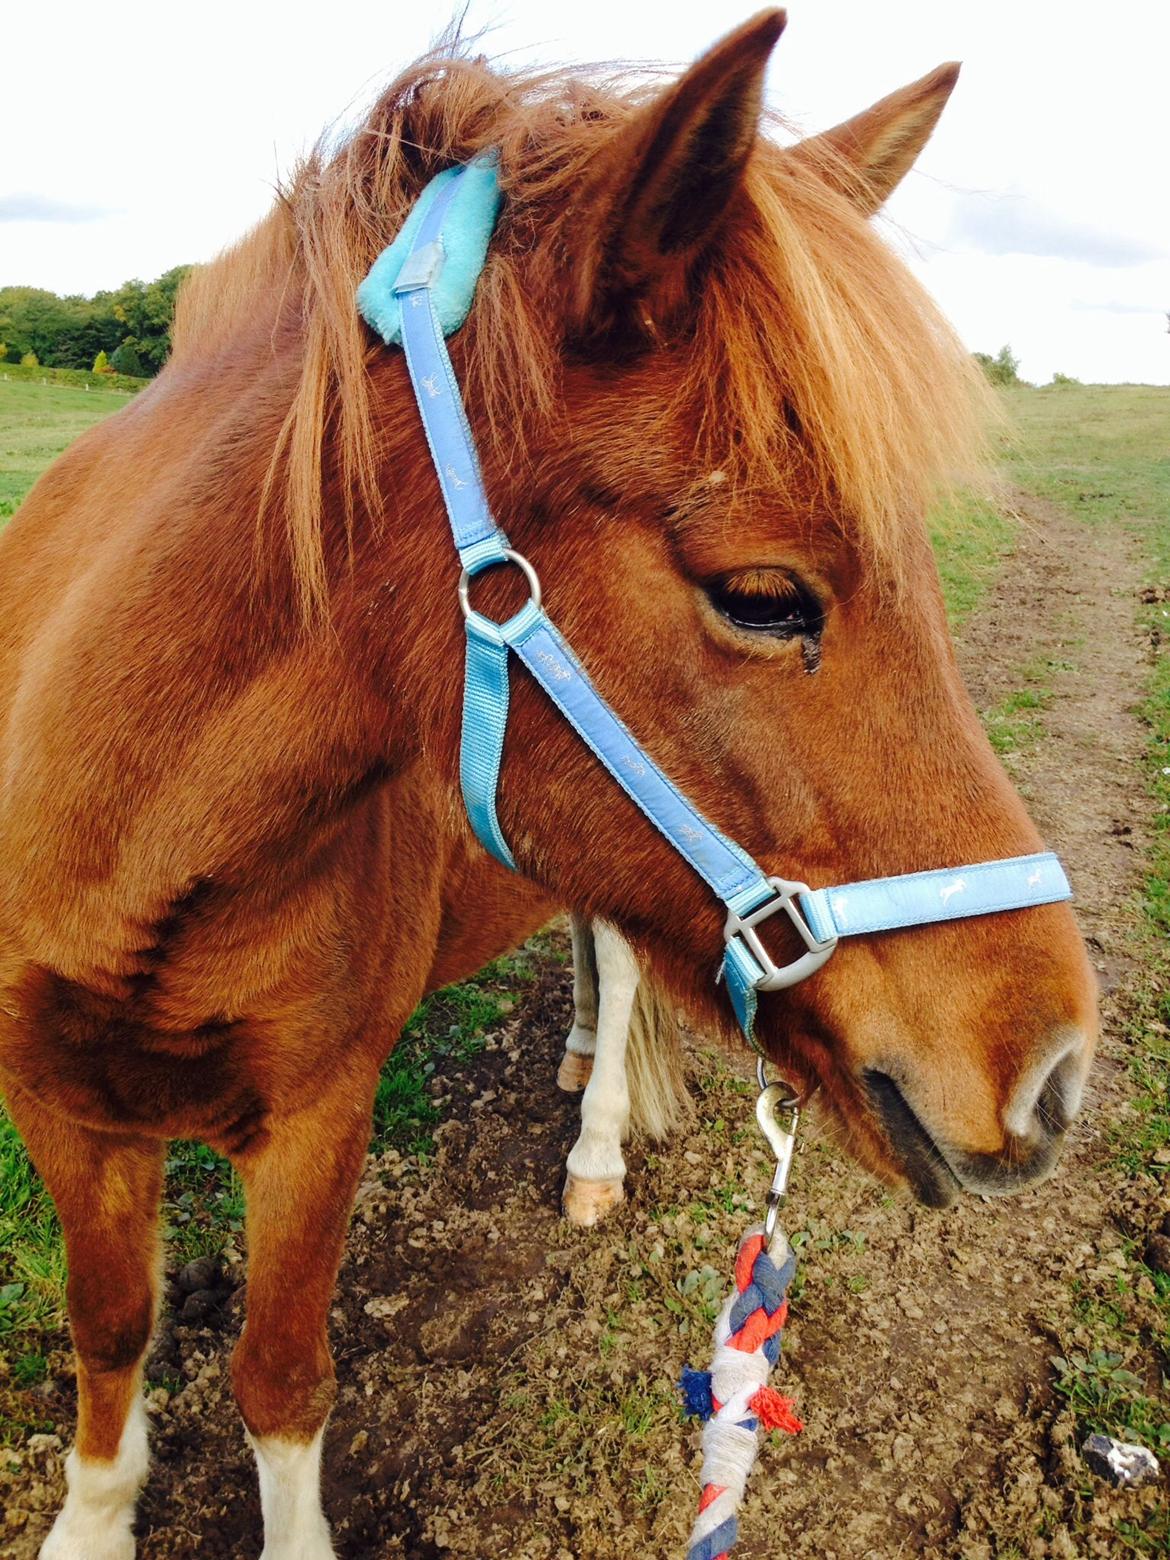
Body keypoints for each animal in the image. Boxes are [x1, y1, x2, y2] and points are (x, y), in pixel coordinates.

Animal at [0, 15, 1098, 1560]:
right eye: (762, 595)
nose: (1055, 1074)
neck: (133, 845)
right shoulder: (55, 1104)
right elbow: (109, 1332)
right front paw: (94, 1518)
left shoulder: (320, 1117)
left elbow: (279, 1376)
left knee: (626, 964)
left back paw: (592, 1147)